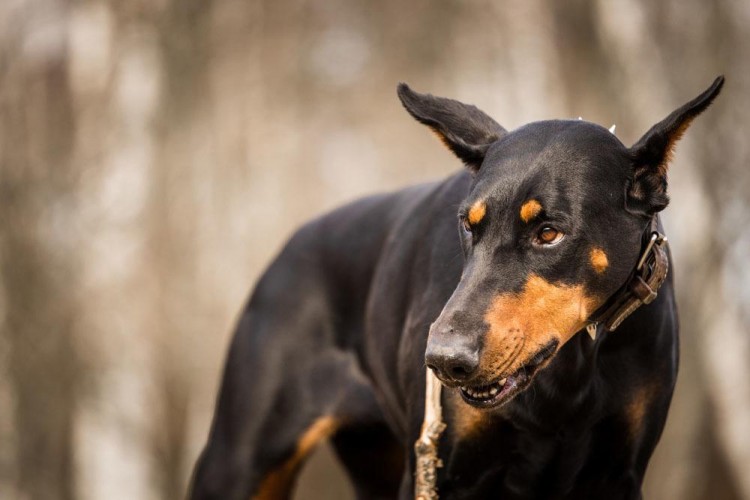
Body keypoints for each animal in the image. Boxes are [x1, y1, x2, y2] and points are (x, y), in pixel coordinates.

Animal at [191, 76, 724, 498]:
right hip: (240, 461)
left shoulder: (618, 474)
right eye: (469, 224)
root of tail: (284, 250)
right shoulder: (441, 472)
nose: (445, 361)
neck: (573, 366)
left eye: (549, 232)